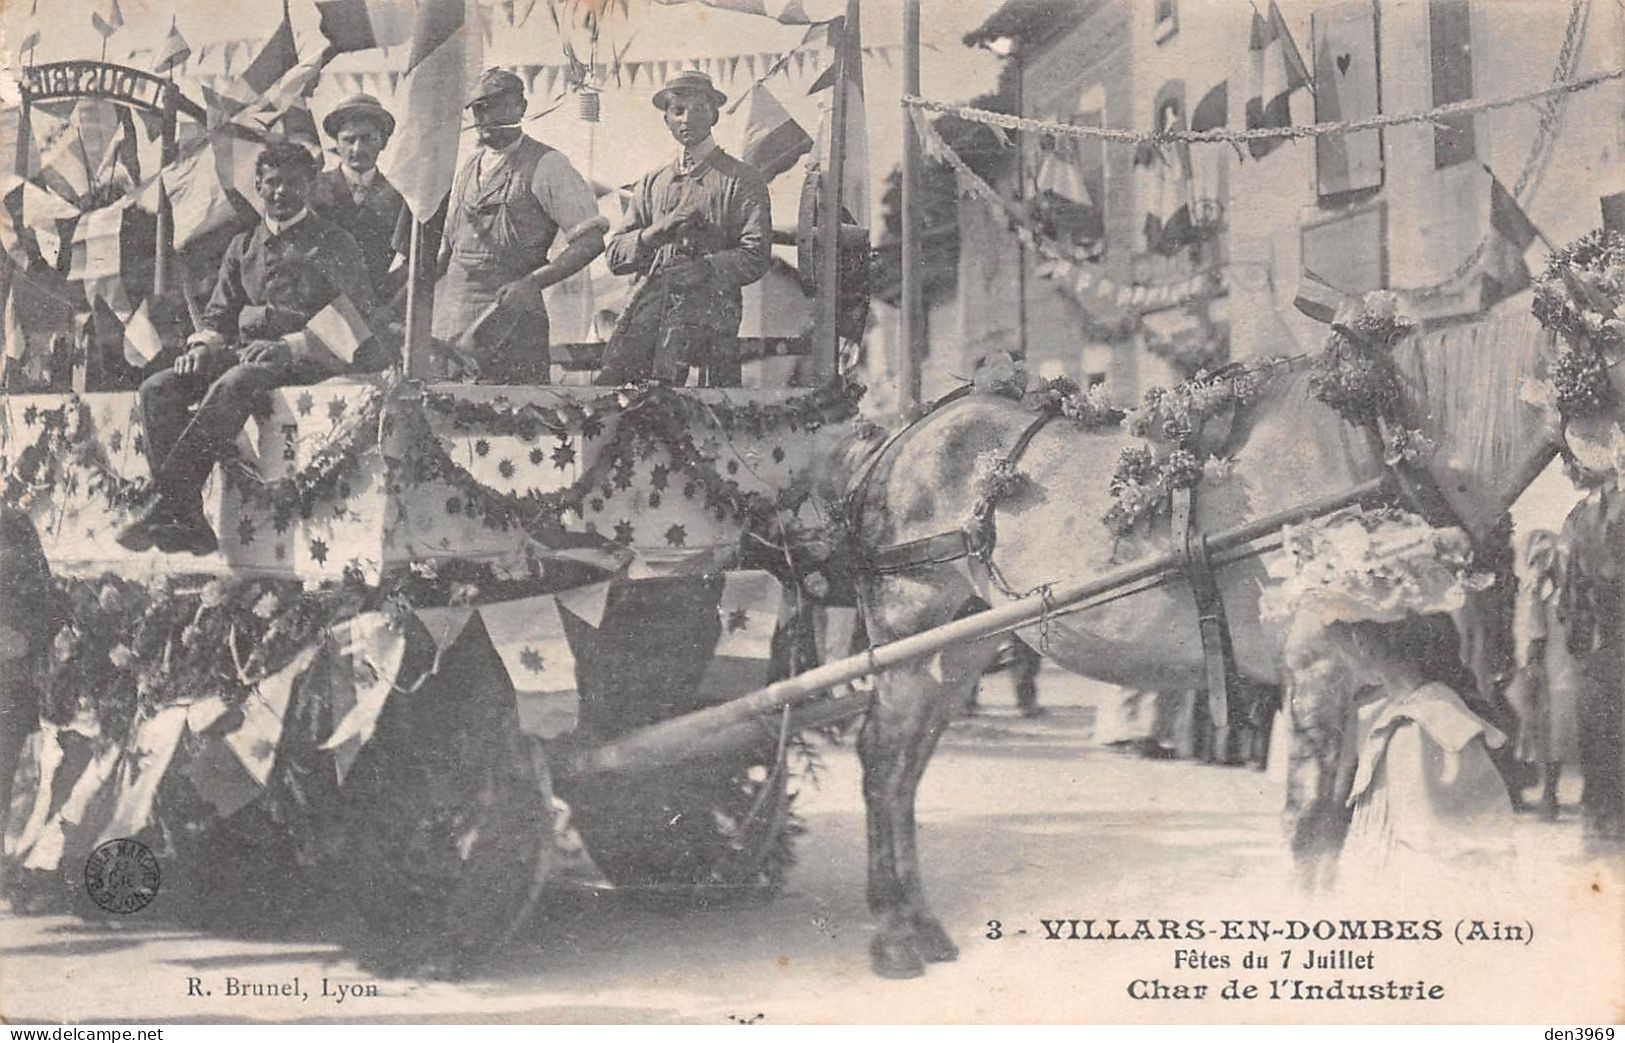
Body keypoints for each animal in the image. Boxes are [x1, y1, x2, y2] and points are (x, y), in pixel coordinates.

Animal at [838, 308, 1612, 974]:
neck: (1377, 437)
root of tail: (900, 439)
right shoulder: (1318, 670)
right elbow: (1307, 823)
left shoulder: (1361, 677)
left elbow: (1332, 825)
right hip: (909, 633)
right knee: (882, 762)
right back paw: (891, 934)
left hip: (956, 648)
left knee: (907, 771)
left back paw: (922, 925)